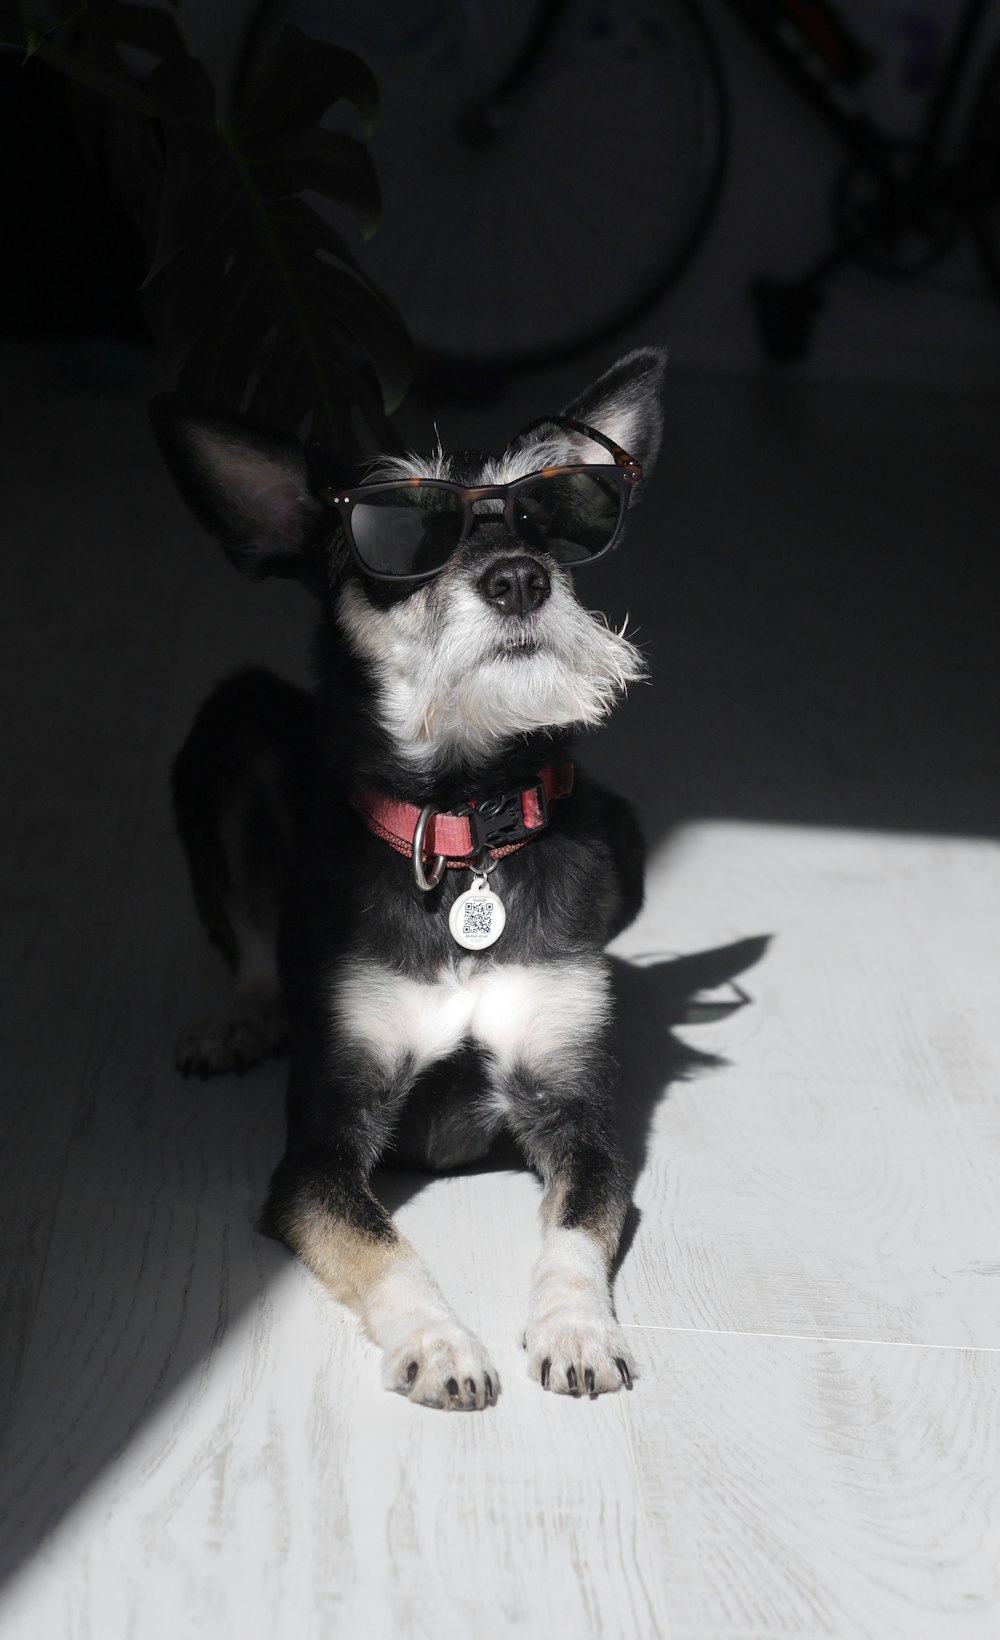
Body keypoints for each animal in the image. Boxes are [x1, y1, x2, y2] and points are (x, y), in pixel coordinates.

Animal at [151, 346, 665, 1410]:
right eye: (399, 534)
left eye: (548, 514)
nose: (521, 578)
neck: (463, 822)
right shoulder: (317, 1151)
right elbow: (380, 1244)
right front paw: (438, 1343)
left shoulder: (582, 1117)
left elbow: (576, 1233)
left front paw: (576, 1330)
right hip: (236, 719)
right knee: (251, 941)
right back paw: (242, 1017)